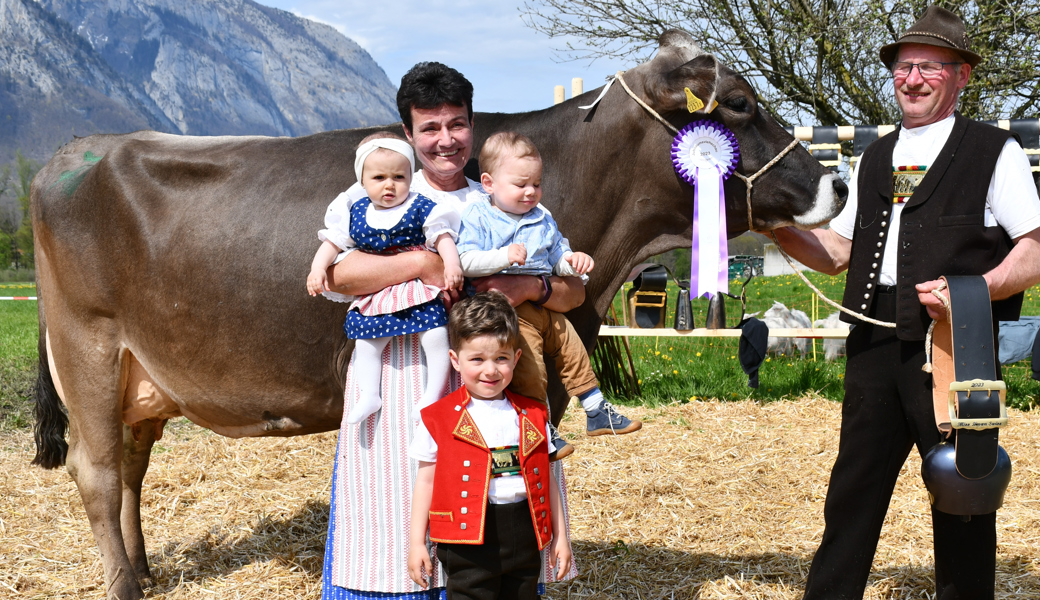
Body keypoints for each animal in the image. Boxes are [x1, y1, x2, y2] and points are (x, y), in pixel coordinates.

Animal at [30, 31, 844, 598]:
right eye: (739, 105)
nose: (835, 186)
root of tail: (74, 151)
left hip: (141, 373)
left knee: (131, 466)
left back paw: (145, 572)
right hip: (87, 344)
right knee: (97, 471)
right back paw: (124, 584)